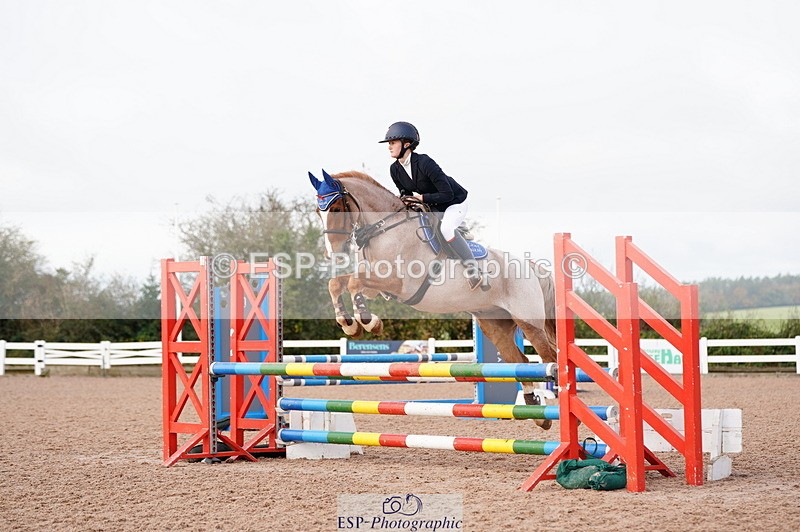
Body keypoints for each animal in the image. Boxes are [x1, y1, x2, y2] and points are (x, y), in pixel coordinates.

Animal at [309, 169, 557, 428]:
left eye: (337, 208)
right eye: (318, 211)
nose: (333, 253)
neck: (385, 230)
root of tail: (531, 266)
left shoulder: (398, 284)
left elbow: (353, 283)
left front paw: (368, 321)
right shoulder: (375, 286)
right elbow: (337, 283)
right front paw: (349, 324)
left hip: (528, 321)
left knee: (550, 358)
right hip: (495, 326)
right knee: (522, 362)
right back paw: (537, 412)